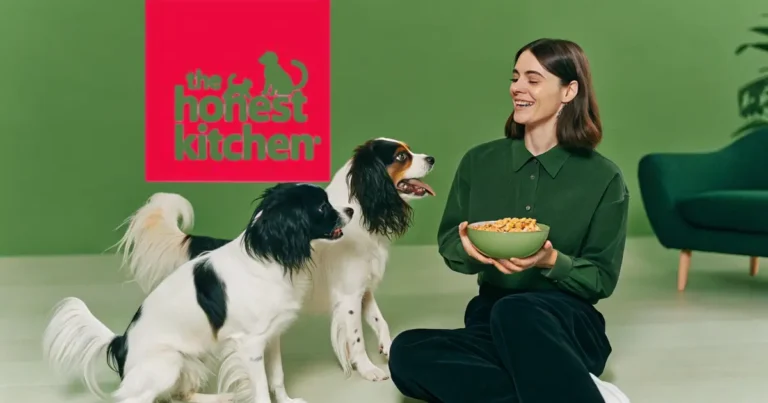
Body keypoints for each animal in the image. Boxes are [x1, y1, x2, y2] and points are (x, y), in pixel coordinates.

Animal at [42, 185, 354, 403]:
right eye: (323, 207)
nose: (351, 210)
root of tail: (120, 343)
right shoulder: (251, 345)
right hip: (168, 362)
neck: (268, 254)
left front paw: (287, 400)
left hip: (191, 361)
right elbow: (261, 388)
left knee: (179, 395)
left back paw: (223, 397)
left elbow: (276, 377)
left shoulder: (271, 337)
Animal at [116, 138, 436, 382]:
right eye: (402, 156)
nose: (432, 158)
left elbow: (381, 322)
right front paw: (369, 369)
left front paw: (388, 348)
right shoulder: (348, 297)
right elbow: (356, 338)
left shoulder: (363, 291)